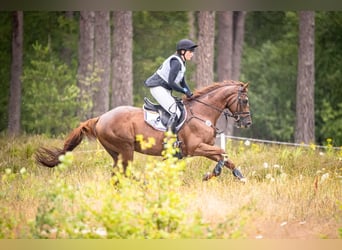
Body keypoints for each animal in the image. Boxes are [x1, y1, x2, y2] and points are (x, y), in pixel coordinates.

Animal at [36, 80, 251, 182]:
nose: (247, 123)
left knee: (117, 175)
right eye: (245, 100)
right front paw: (212, 174)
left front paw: (240, 177)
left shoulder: (204, 148)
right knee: (126, 173)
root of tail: (101, 118)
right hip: (126, 149)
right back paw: (144, 184)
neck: (202, 112)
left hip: (117, 153)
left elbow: (226, 158)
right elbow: (223, 153)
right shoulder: (195, 148)